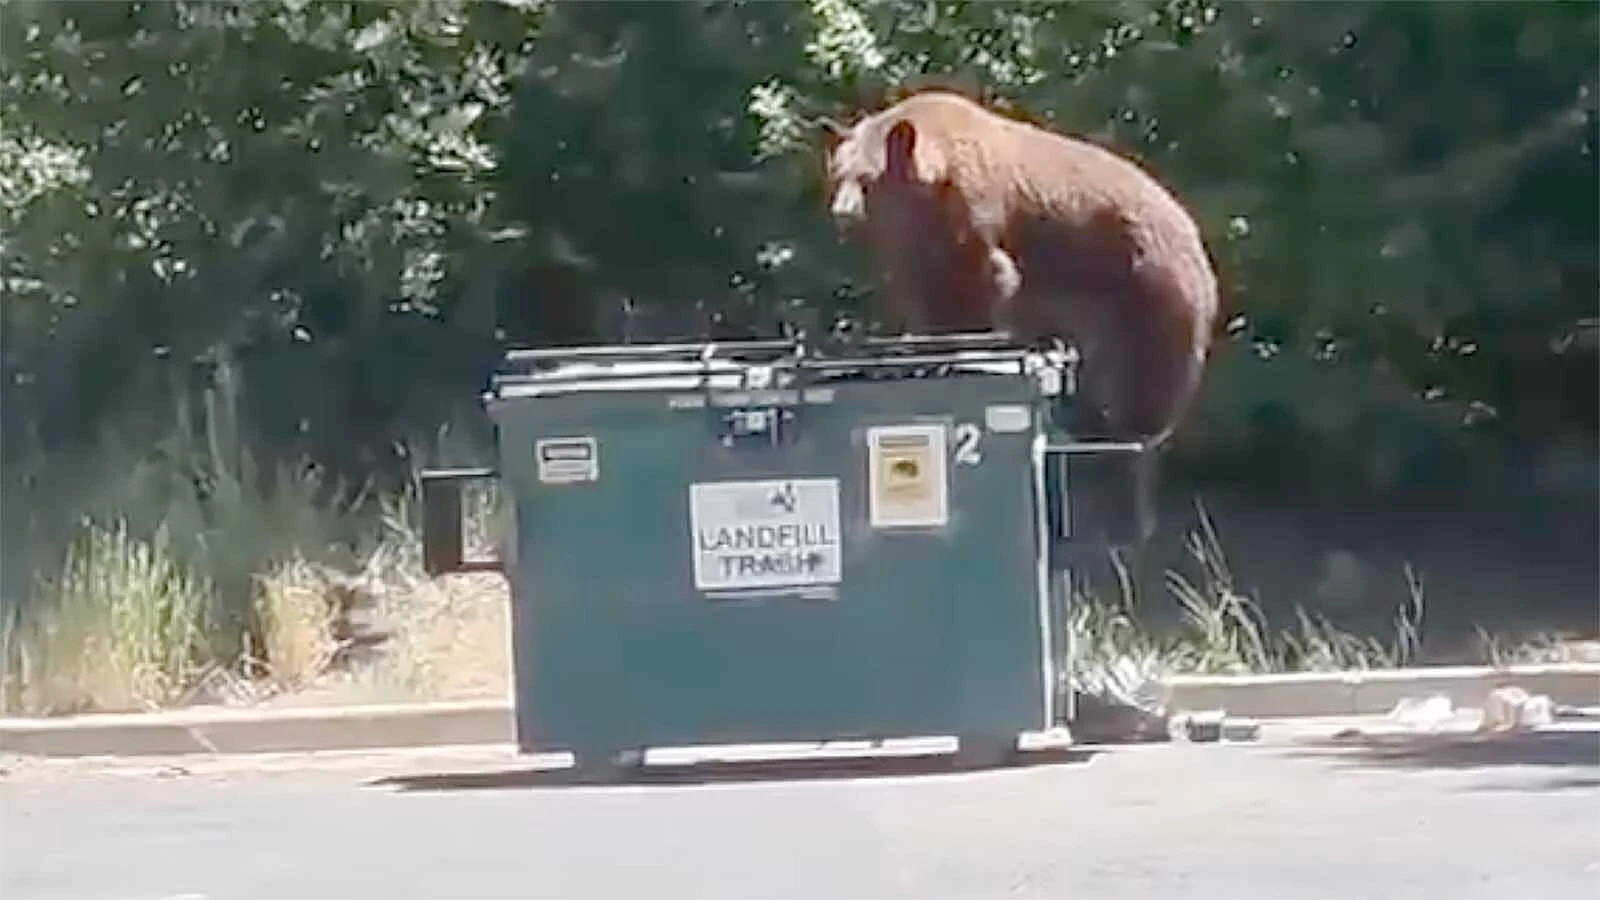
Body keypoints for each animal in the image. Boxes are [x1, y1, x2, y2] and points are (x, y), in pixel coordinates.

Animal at [821, 89, 1222, 448]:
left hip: (1146, 281)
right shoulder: (911, 238)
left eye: (867, 179)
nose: (842, 214)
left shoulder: (971, 210)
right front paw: (918, 347)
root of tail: (1192, 229)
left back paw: (1124, 424)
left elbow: (979, 279)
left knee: (1149, 365)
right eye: (837, 174)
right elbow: (925, 289)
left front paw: (958, 348)